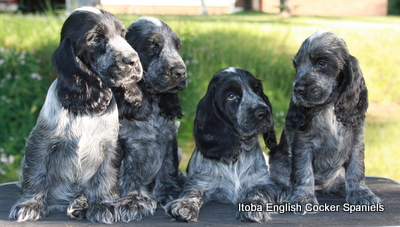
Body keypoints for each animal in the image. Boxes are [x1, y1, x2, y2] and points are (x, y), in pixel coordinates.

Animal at [8, 7, 144, 223]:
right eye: (96, 38)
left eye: (123, 35)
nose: (133, 61)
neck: (86, 106)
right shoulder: (41, 141)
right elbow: (36, 172)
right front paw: (29, 204)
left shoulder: (111, 145)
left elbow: (105, 176)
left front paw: (103, 205)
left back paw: (81, 203)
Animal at [112, 17, 188, 222]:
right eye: (152, 46)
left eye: (177, 47)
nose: (181, 72)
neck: (151, 99)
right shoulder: (123, 144)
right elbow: (128, 174)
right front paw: (133, 200)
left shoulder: (169, 137)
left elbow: (168, 167)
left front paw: (169, 192)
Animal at [164, 68, 276, 223]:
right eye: (231, 96)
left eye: (257, 90)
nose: (264, 112)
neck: (239, 151)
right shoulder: (200, 181)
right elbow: (192, 191)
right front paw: (184, 205)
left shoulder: (263, 182)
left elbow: (259, 191)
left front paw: (253, 206)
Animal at [270, 30, 380, 213]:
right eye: (296, 66)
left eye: (321, 63)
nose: (297, 89)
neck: (329, 105)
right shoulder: (303, 143)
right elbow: (303, 172)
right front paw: (304, 198)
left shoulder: (356, 141)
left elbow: (356, 170)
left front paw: (361, 193)